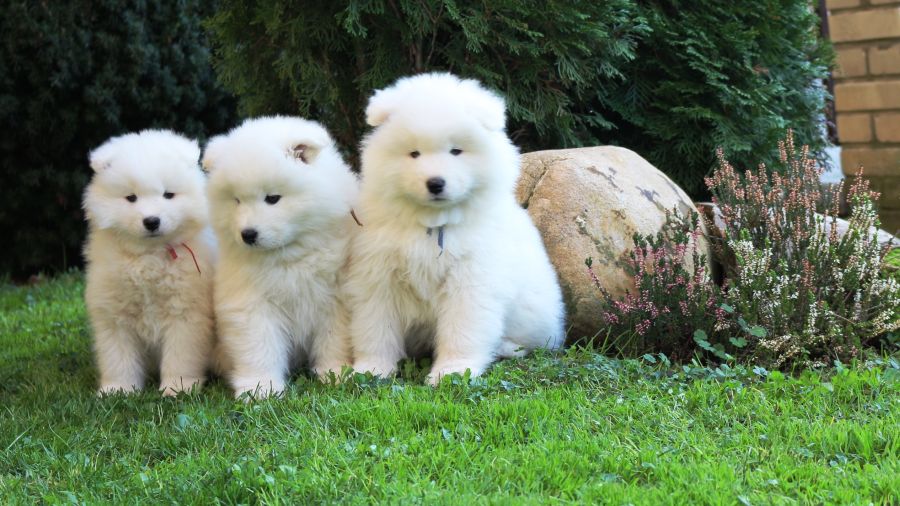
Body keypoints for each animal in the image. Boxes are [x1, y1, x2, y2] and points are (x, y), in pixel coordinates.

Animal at [84, 129, 218, 396]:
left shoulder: (185, 313)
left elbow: (180, 355)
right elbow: (118, 357)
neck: (149, 256)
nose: (152, 221)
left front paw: (177, 387)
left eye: (168, 195)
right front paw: (118, 390)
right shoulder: (114, 314)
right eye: (131, 197)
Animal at [204, 116, 358, 398]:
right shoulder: (250, 302)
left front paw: (335, 373)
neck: (288, 256)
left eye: (272, 198)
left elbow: (333, 338)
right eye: (236, 200)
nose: (248, 234)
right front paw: (260, 388)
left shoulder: (335, 297)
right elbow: (258, 346)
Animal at [346, 73, 564, 386]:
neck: (434, 222)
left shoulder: (470, 280)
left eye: (456, 151)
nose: (435, 183)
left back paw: (505, 347)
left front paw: (452, 373)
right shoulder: (379, 276)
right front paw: (370, 370)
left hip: (533, 311)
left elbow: (462, 331)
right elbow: (376, 329)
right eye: (414, 153)